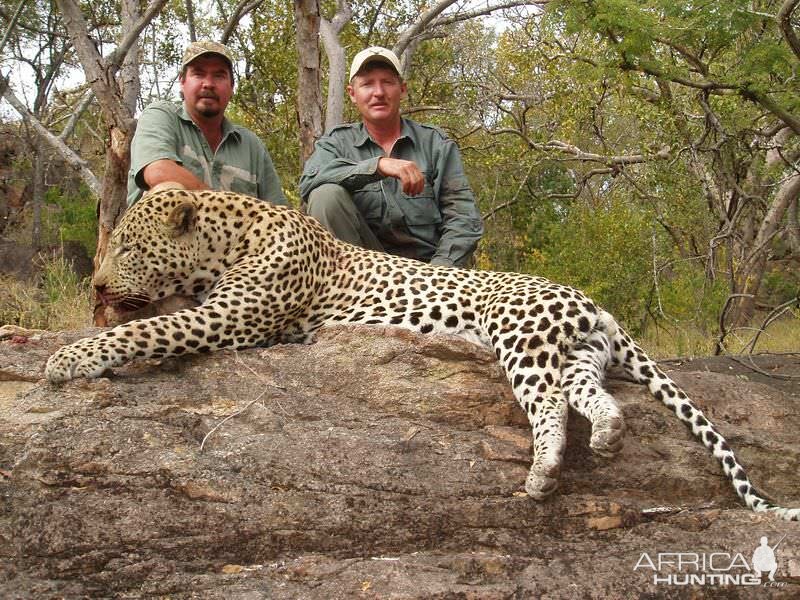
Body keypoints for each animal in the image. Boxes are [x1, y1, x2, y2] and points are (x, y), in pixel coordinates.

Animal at [45, 188, 800, 520]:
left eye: (127, 246)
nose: (97, 284)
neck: (230, 236)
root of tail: (595, 304)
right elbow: (152, 322)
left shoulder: (230, 319)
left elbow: (146, 331)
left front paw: (69, 359)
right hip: (576, 353)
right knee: (596, 399)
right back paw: (607, 438)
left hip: (520, 340)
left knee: (549, 406)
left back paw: (541, 474)